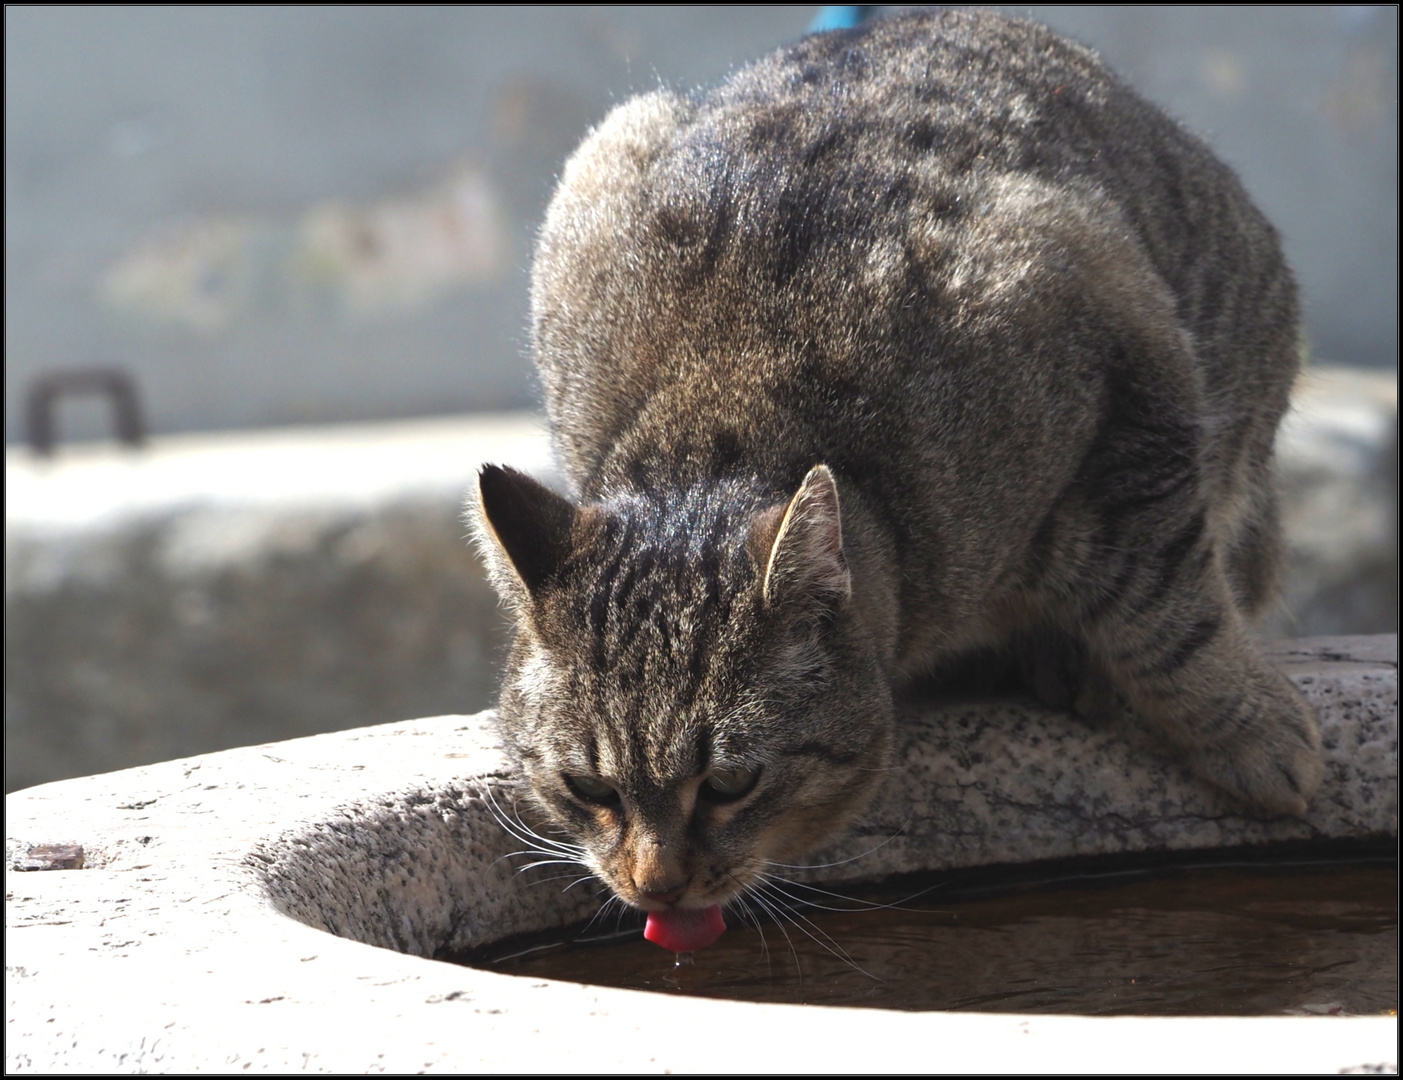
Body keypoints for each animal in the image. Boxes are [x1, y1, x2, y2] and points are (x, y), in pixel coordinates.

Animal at [471, 4, 1324, 936]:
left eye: (731, 782)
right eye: (587, 787)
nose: (653, 885)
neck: (729, 416)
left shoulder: (1116, 350)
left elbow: (1165, 605)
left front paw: (1250, 732)